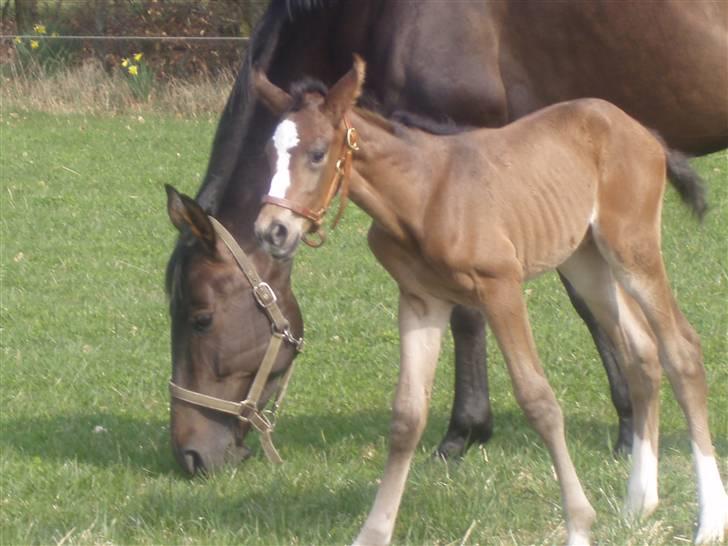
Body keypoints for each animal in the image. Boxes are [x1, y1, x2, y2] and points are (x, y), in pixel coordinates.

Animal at [252, 59, 728, 544]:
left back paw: (710, 519)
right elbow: (407, 415)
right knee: (641, 353)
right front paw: (374, 532)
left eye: (317, 153)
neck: (423, 194)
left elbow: (539, 400)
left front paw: (578, 524)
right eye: (268, 153)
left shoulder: (502, 287)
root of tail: (641, 130)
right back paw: (639, 502)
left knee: (681, 349)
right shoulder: (420, 299)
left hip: (632, 247)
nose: (272, 231)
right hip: (587, 260)